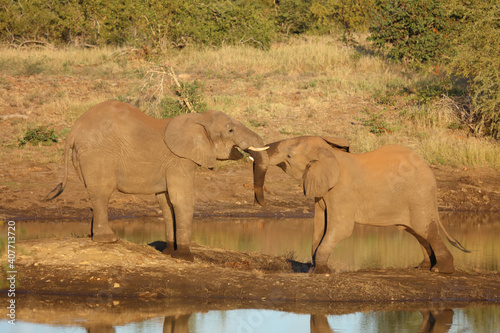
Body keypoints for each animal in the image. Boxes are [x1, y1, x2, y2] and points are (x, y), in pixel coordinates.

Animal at [46, 100, 266, 260]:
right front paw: (185, 258)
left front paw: (169, 252)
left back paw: (94, 237)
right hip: (98, 154)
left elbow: (166, 202)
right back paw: (108, 240)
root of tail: (73, 130)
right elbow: (182, 199)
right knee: (102, 193)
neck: (197, 118)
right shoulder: (180, 160)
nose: (258, 204)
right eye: (230, 131)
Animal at [252, 135, 470, 272]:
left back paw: (440, 270)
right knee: (415, 231)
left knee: (425, 229)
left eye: (289, 155)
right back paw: (423, 267)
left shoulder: (343, 191)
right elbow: (319, 226)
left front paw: (320, 271)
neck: (330, 153)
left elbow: (341, 228)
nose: (262, 204)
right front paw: (314, 268)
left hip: (419, 195)